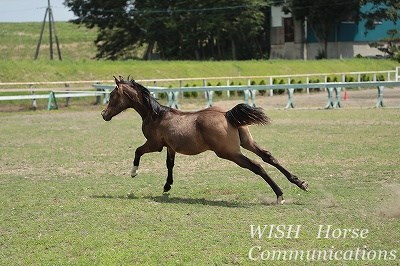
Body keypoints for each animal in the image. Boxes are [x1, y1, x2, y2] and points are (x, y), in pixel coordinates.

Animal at [101, 76, 308, 205]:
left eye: (112, 95)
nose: (104, 115)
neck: (156, 115)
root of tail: (227, 114)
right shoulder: (170, 147)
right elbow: (170, 164)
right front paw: (167, 186)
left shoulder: (155, 145)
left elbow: (137, 151)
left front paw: (133, 172)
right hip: (247, 143)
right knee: (268, 156)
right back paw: (301, 183)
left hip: (229, 152)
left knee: (257, 166)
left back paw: (280, 195)